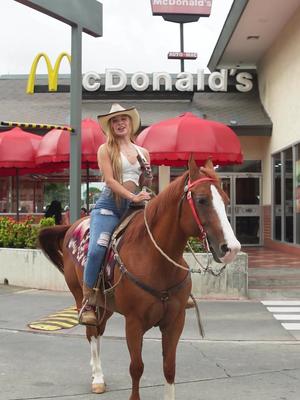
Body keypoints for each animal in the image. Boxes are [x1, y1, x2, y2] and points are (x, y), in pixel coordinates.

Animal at [39, 158, 241, 398]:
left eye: (226, 200)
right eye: (201, 200)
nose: (231, 248)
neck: (156, 260)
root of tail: (72, 226)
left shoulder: (175, 322)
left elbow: (169, 367)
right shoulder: (134, 323)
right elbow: (136, 367)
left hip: (105, 305)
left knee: (99, 331)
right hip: (83, 298)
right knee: (91, 332)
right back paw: (97, 378)